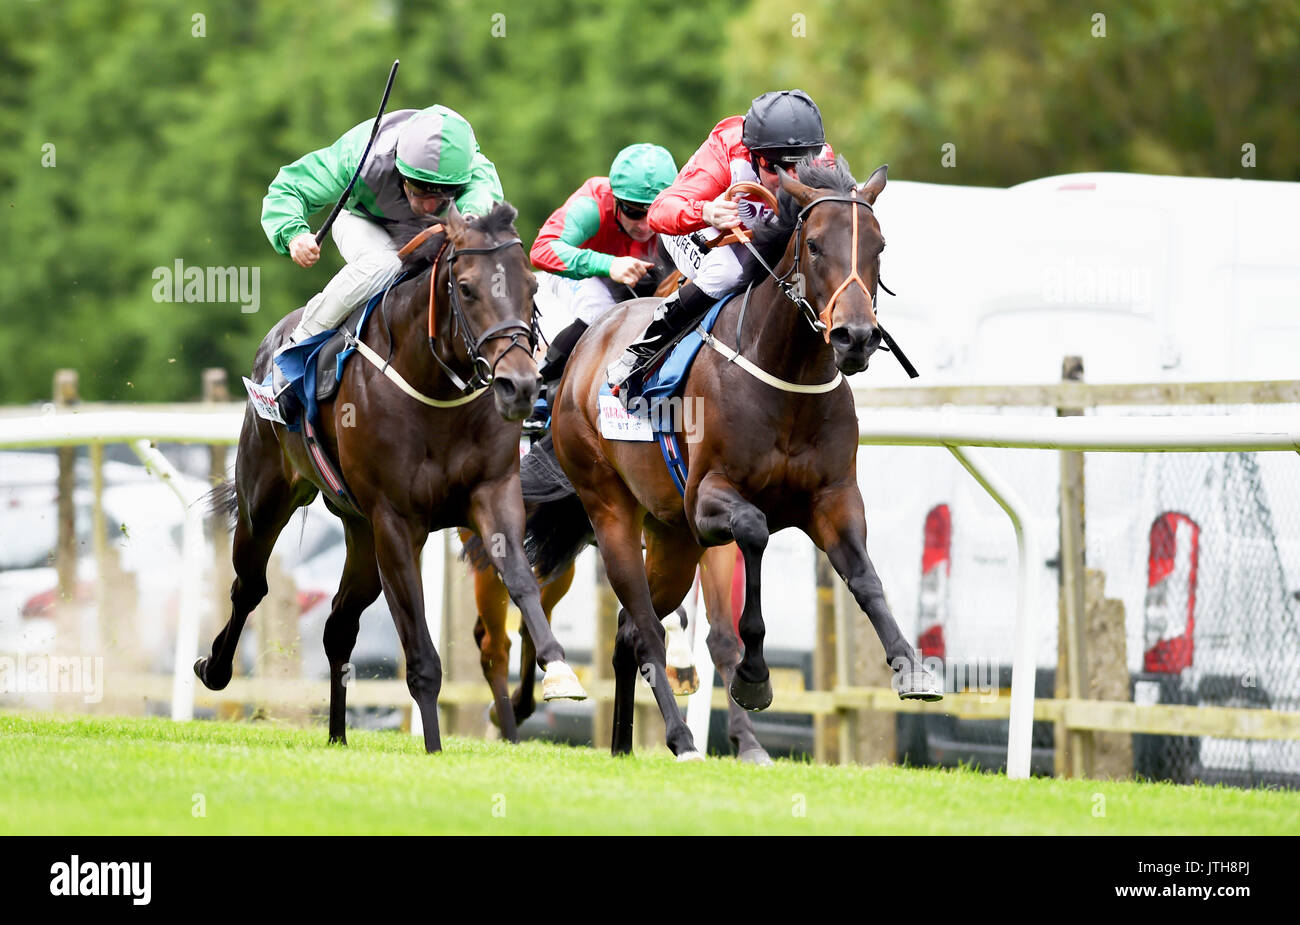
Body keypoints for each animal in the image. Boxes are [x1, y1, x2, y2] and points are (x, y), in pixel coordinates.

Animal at [198, 202, 590, 753]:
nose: (519, 385)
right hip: (267, 498)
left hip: (361, 535)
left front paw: (558, 672)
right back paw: (214, 669)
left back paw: (338, 735)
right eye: (466, 288)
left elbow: (519, 578)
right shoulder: (396, 522)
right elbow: (420, 647)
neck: (435, 390)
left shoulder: (492, 496)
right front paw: (434, 747)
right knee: (250, 585)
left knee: (339, 624)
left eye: (532, 287)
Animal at [522, 159, 941, 758]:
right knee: (646, 627)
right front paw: (755, 677)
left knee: (629, 628)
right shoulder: (708, 500)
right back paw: (681, 738)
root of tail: (590, 344)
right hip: (613, 511)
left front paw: (911, 668)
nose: (856, 337)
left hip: (672, 537)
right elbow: (755, 532)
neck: (787, 378)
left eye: (879, 246)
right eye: (815, 245)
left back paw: (626, 744)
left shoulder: (834, 498)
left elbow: (865, 577)